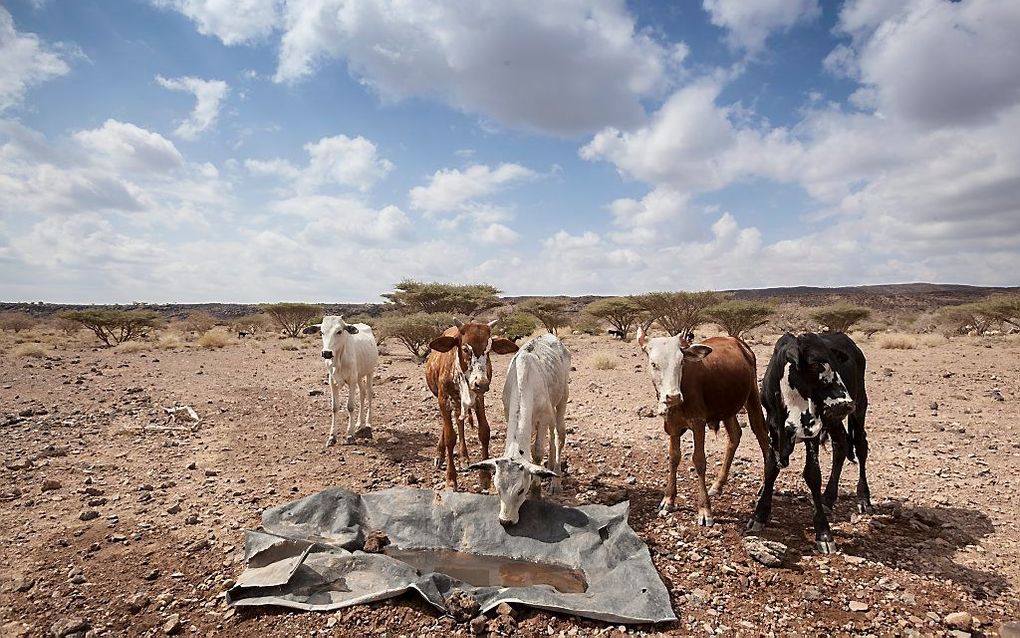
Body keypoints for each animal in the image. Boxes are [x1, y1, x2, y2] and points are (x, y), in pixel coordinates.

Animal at [306, 316, 383, 445]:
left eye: (339, 331)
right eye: (321, 332)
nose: (326, 353)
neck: (338, 360)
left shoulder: (352, 380)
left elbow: (350, 406)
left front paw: (350, 435)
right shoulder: (332, 381)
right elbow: (334, 407)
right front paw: (332, 436)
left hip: (370, 372)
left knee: (369, 393)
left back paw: (368, 424)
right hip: (359, 376)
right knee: (362, 393)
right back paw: (359, 423)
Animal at [424, 316, 518, 487]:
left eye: (488, 350)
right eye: (465, 349)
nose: (481, 383)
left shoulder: (479, 398)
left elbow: (484, 432)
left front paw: (484, 477)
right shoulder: (443, 399)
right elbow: (449, 436)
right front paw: (451, 478)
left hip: (459, 403)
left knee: (459, 422)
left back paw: (464, 457)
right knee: (448, 426)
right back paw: (440, 455)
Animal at [632, 326, 767, 526]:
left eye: (681, 362)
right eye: (654, 364)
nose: (673, 396)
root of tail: (737, 341)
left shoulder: (698, 422)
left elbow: (699, 460)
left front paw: (704, 509)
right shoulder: (672, 425)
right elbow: (674, 457)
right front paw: (668, 499)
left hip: (752, 396)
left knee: (762, 435)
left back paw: (765, 487)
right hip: (727, 408)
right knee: (735, 435)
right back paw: (718, 485)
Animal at [746, 330, 873, 555]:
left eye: (836, 364)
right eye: (815, 366)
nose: (844, 404)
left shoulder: (812, 429)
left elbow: (812, 475)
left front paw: (823, 533)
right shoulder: (772, 428)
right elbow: (770, 468)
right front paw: (759, 515)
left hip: (860, 406)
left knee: (861, 446)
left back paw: (863, 498)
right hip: (834, 420)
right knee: (840, 446)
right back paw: (828, 498)